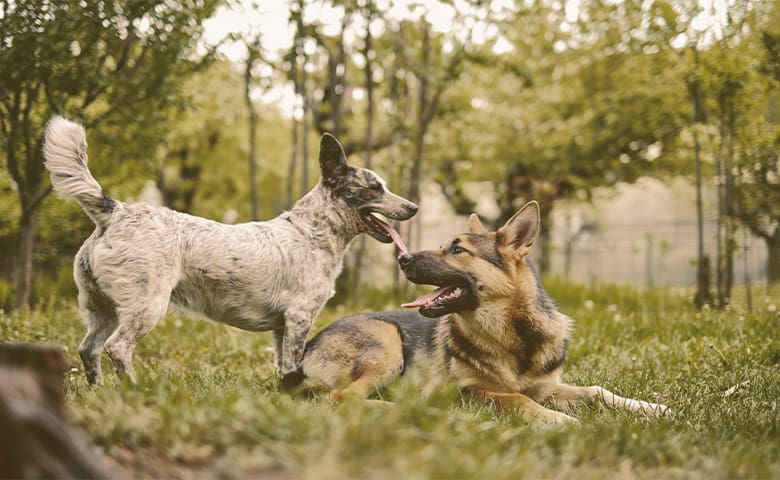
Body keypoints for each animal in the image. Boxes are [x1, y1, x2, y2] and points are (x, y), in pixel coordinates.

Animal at [41, 114, 420, 384]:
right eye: (374, 189)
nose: (413, 207)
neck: (311, 232)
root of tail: (115, 210)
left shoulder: (281, 327)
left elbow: (284, 365)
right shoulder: (299, 317)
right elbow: (296, 362)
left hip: (101, 307)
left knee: (88, 350)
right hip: (146, 306)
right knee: (117, 348)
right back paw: (133, 389)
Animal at [302, 201, 668, 422]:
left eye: (457, 249)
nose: (401, 258)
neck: (512, 335)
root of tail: (305, 353)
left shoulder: (547, 388)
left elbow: (597, 391)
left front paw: (649, 407)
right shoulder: (469, 391)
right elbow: (518, 400)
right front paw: (560, 420)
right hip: (387, 344)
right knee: (341, 398)